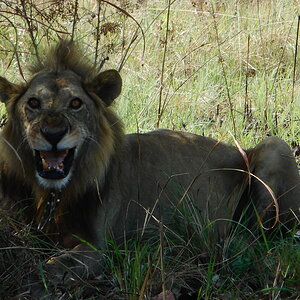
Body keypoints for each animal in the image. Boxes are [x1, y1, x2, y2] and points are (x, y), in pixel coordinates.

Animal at [0, 39, 298, 290]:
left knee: (258, 236)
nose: (53, 134)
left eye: (75, 103)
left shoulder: (97, 248)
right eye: (33, 103)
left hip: (276, 147)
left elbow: (48, 267)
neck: (52, 194)